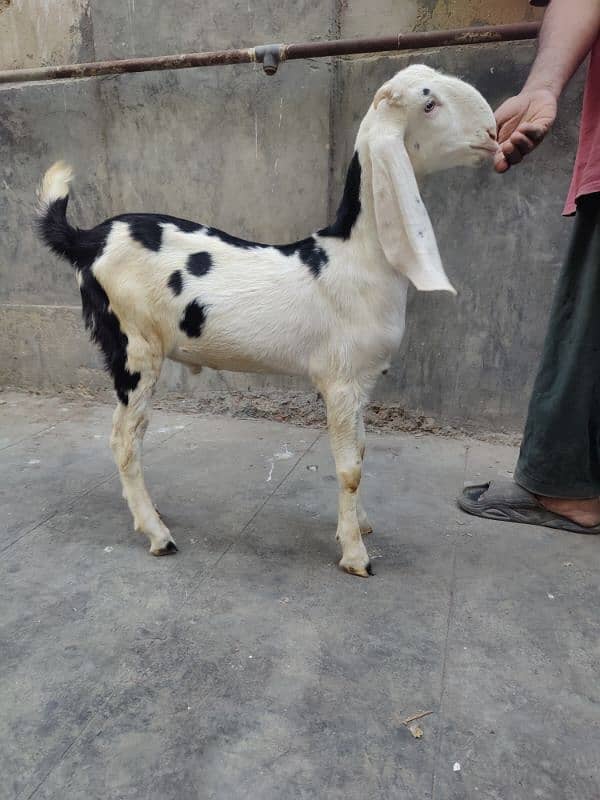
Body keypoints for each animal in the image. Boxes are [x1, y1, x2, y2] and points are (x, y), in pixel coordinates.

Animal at [37, 62, 496, 576]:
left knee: (133, 434)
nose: (493, 135)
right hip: (133, 345)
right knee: (123, 437)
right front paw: (355, 555)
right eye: (429, 103)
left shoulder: (362, 381)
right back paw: (158, 535)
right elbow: (349, 468)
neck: (353, 257)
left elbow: (361, 450)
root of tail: (86, 240)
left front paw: (360, 526)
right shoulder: (339, 380)